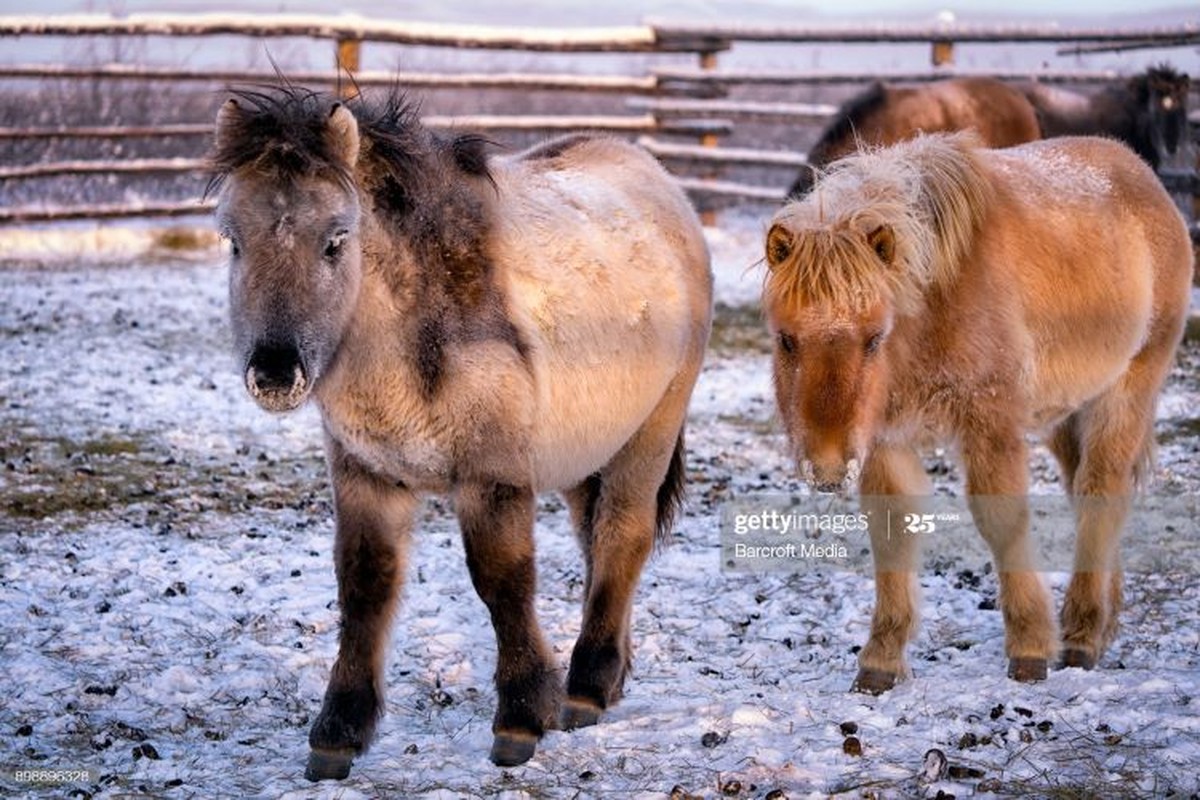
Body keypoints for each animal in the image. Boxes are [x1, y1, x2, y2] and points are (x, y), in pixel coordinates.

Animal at [207, 86, 710, 777]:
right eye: (233, 241)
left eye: (336, 240)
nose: (275, 372)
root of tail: (661, 186)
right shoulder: (366, 474)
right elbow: (364, 586)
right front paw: (338, 732)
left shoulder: (489, 475)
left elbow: (502, 581)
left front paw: (522, 716)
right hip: (589, 454)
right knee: (596, 542)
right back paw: (610, 676)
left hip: (650, 433)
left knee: (622, 536)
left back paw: (585, 687)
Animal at [763, 133, 1195, 695]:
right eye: (786, 339)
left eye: (875, 337)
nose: (828, 467)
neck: (936, 301)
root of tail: (1141, 174)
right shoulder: (887, 441)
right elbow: (892, 533)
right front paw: (881, 659)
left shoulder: (990, 425)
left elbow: (1002, 523)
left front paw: (1030, 648)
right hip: (1065, 415)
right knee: (1087, 495)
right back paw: (1099, 623)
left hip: (1125, 393)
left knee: (1101, 492)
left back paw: (1080, 634)